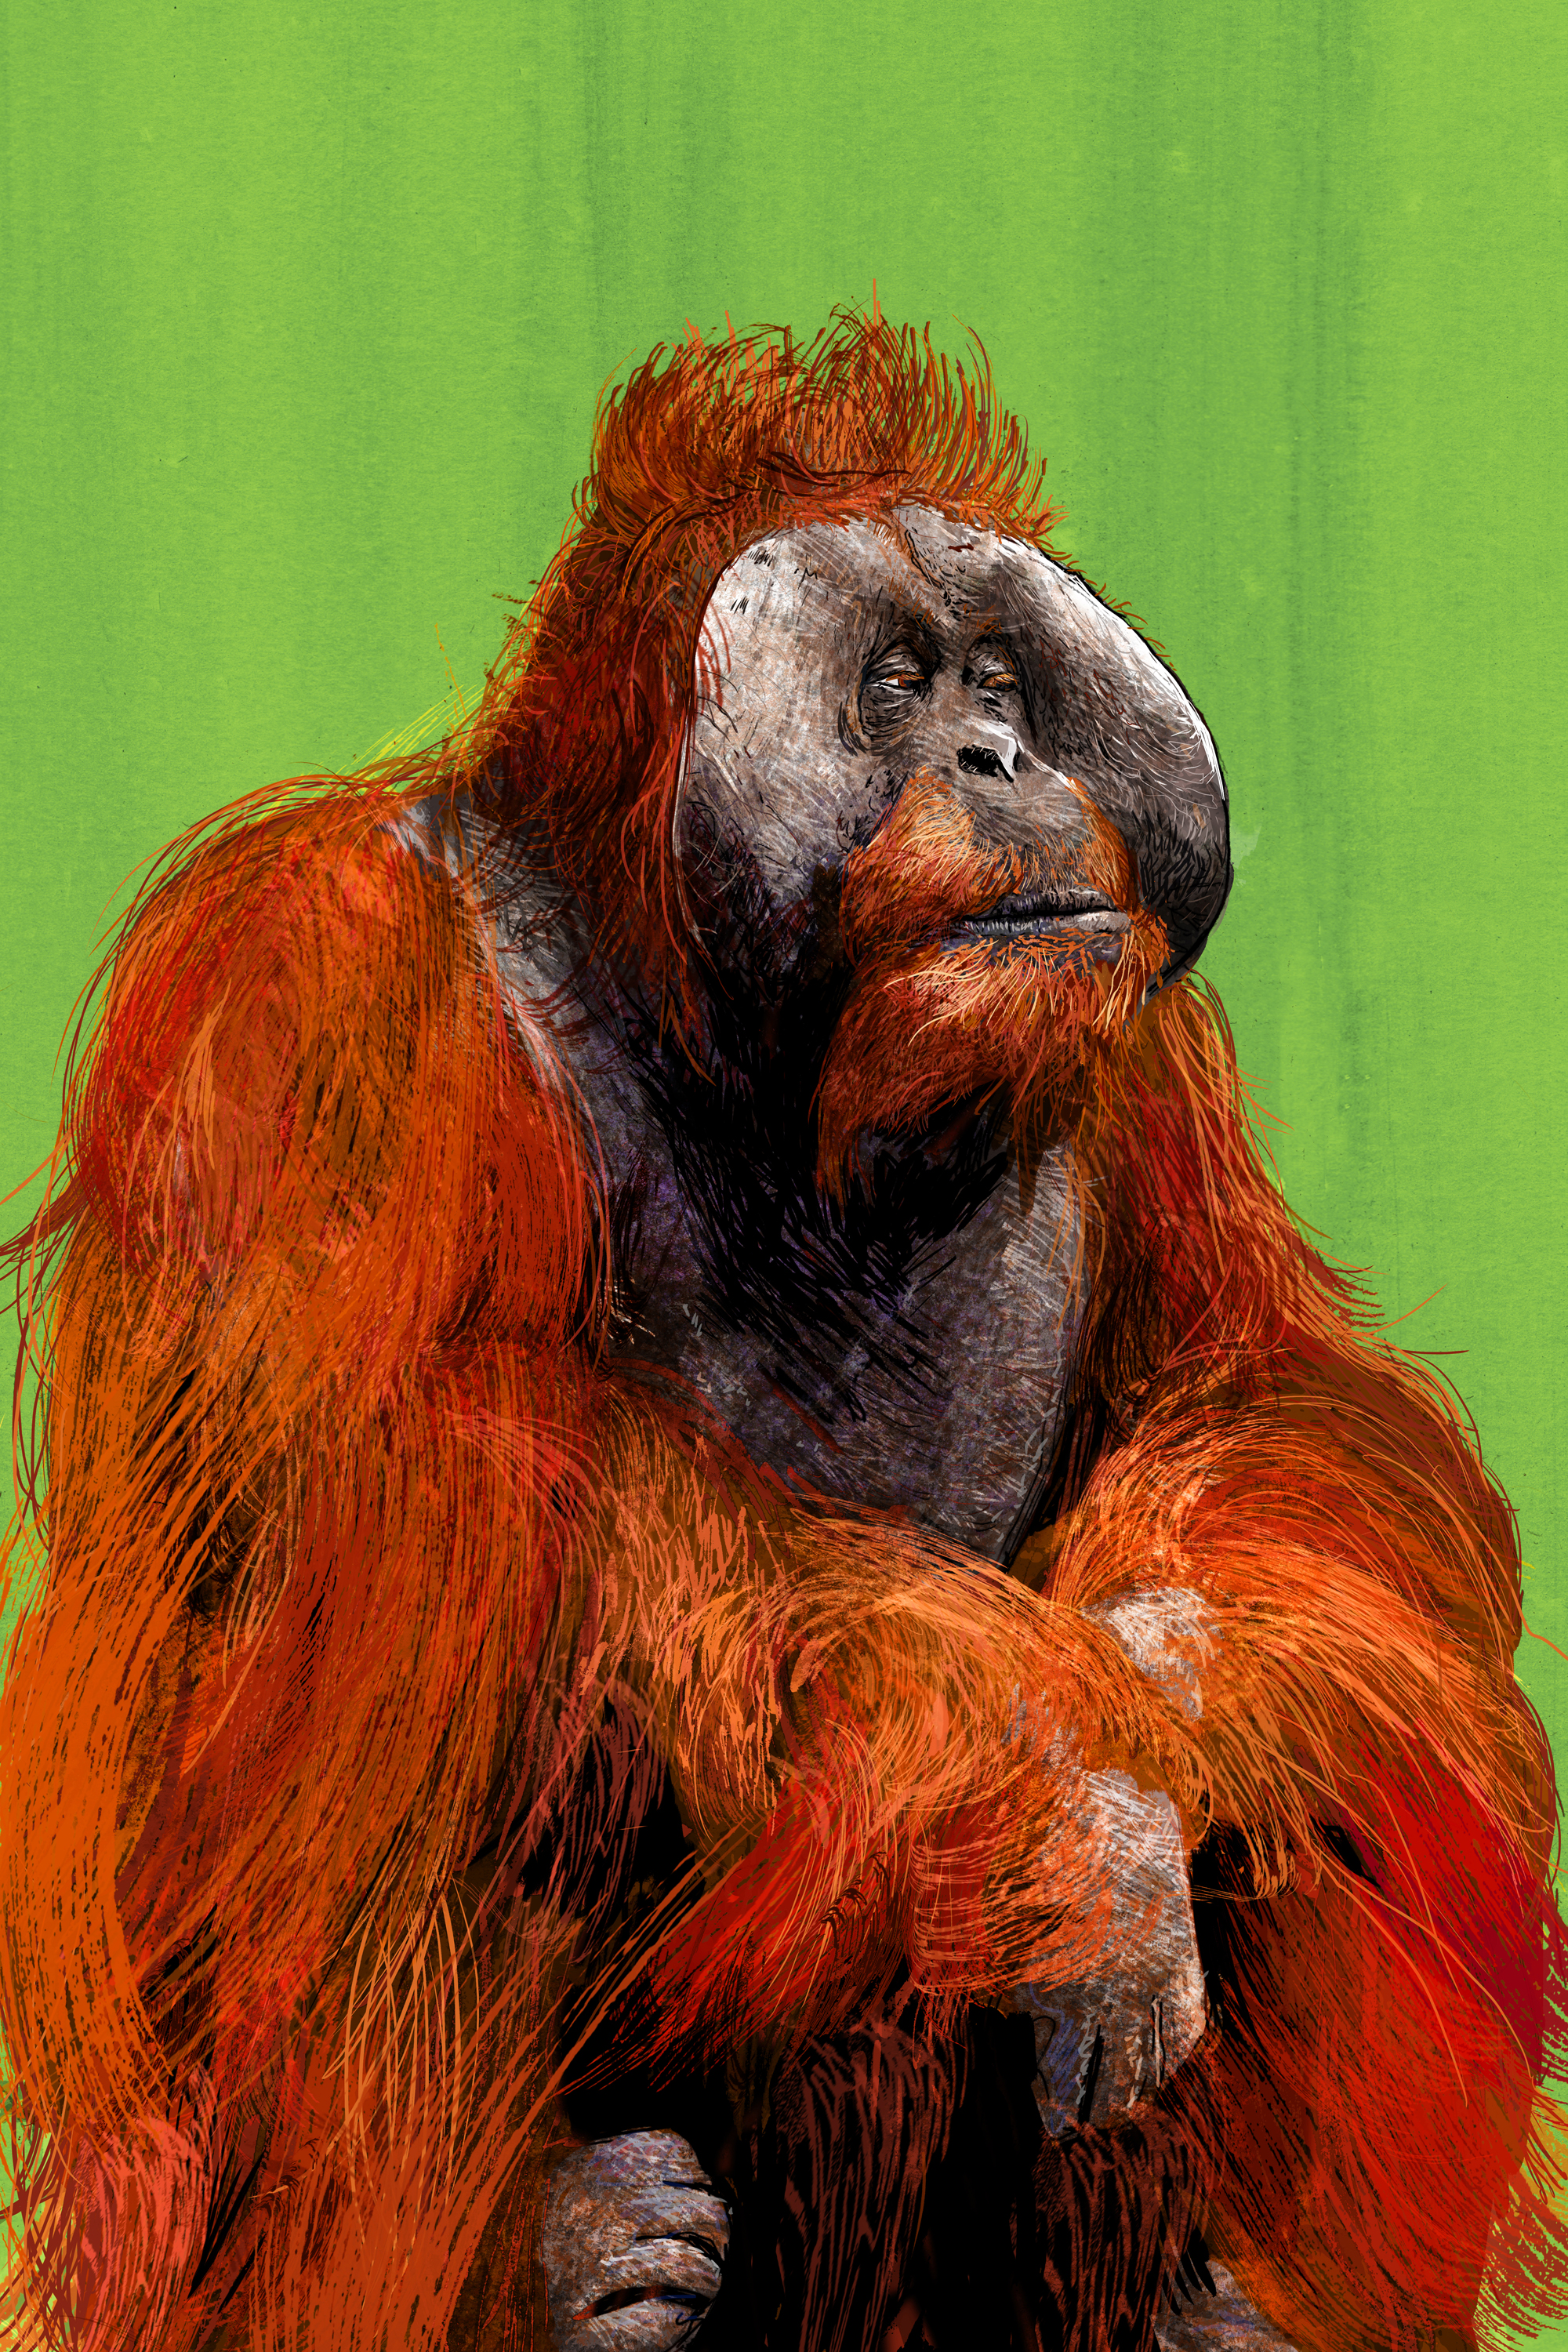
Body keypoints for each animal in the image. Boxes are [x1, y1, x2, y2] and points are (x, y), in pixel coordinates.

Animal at [0, 312, 1562, 2352]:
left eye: (1001, 676)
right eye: (892, 686)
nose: (994, 750)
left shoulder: (1141, 1052)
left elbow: (1284, 1401)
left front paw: (1140, 1708)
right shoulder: (319, 976)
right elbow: (389, 1462)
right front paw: (1067, 1804)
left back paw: (1200, 2300)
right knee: (469, 1608)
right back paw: (564, 2257)